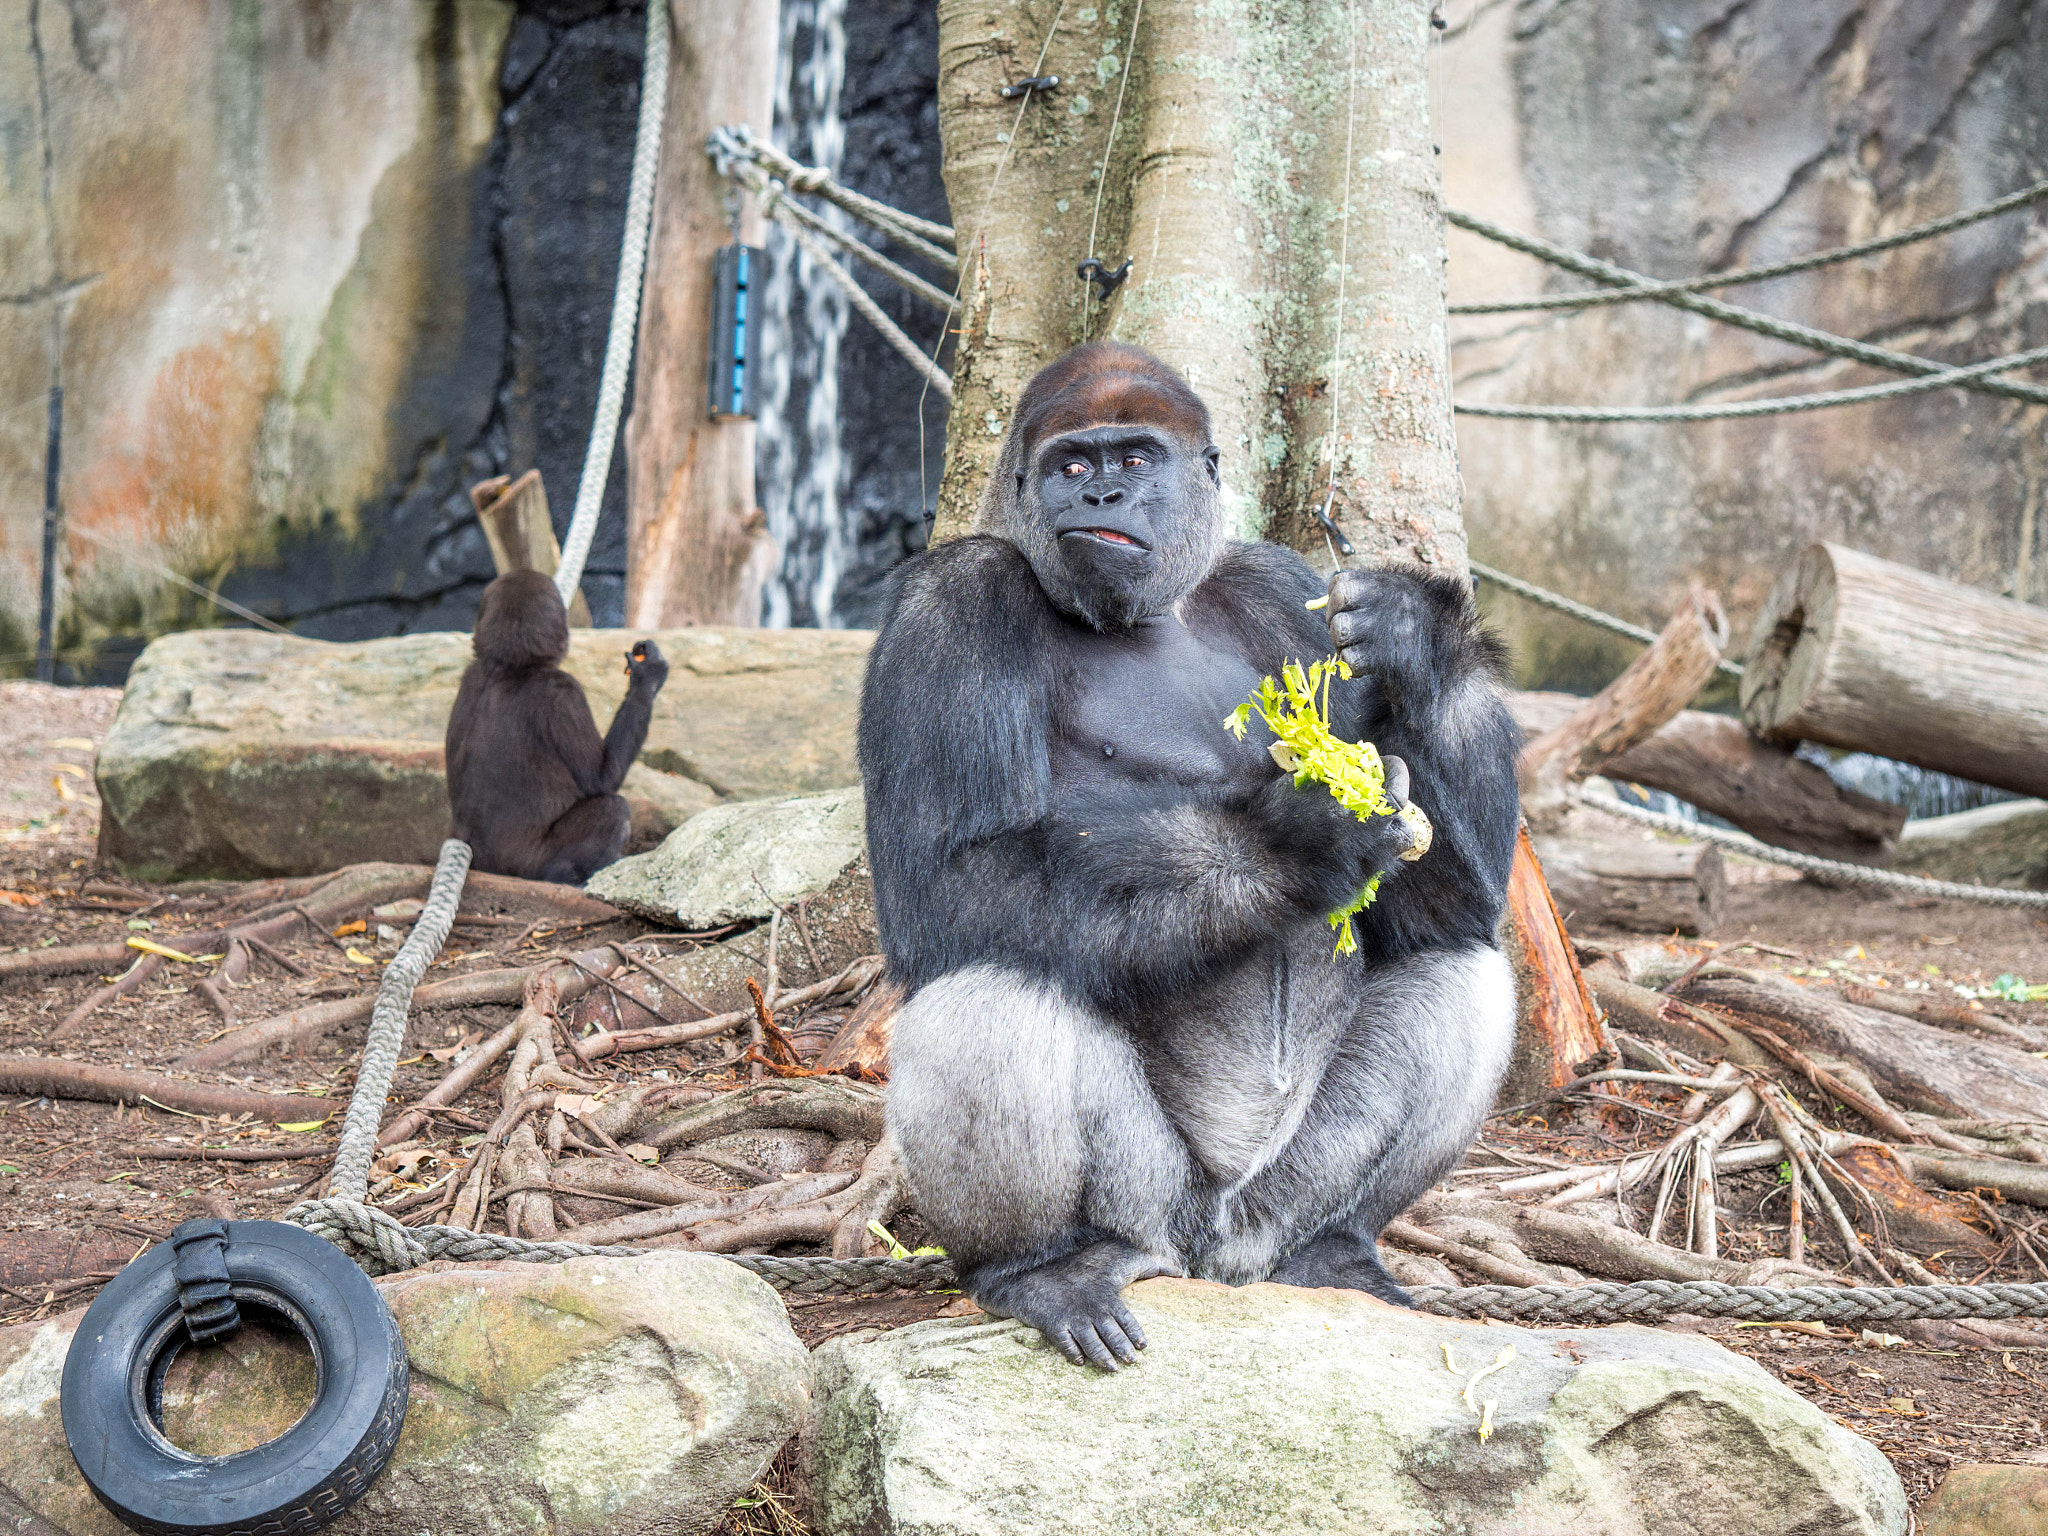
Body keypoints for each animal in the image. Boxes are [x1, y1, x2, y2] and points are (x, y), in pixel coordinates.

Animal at [448, 573, 671, 884]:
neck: (511, 665)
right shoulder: (564, 693)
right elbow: (601, 779)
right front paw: (647, 677)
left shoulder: (470, 675)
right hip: (529, 866)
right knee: (613, 810)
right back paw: (568, 875)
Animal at [851, 346, 1523, 1368]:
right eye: (1074, 466)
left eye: (1136, 458)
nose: (1105, 496)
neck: (1151, 608)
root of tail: (1216, 1256)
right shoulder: (948, 604)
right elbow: (953, 879)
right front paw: (1296, 837)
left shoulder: (1280, 582)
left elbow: (1444, 907)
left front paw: (1420, 644)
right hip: (1154, 1209)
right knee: (989, 989)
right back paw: (1042, 1267)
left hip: (1273, 1207)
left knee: (1461, 967)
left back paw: (1335, 1247)